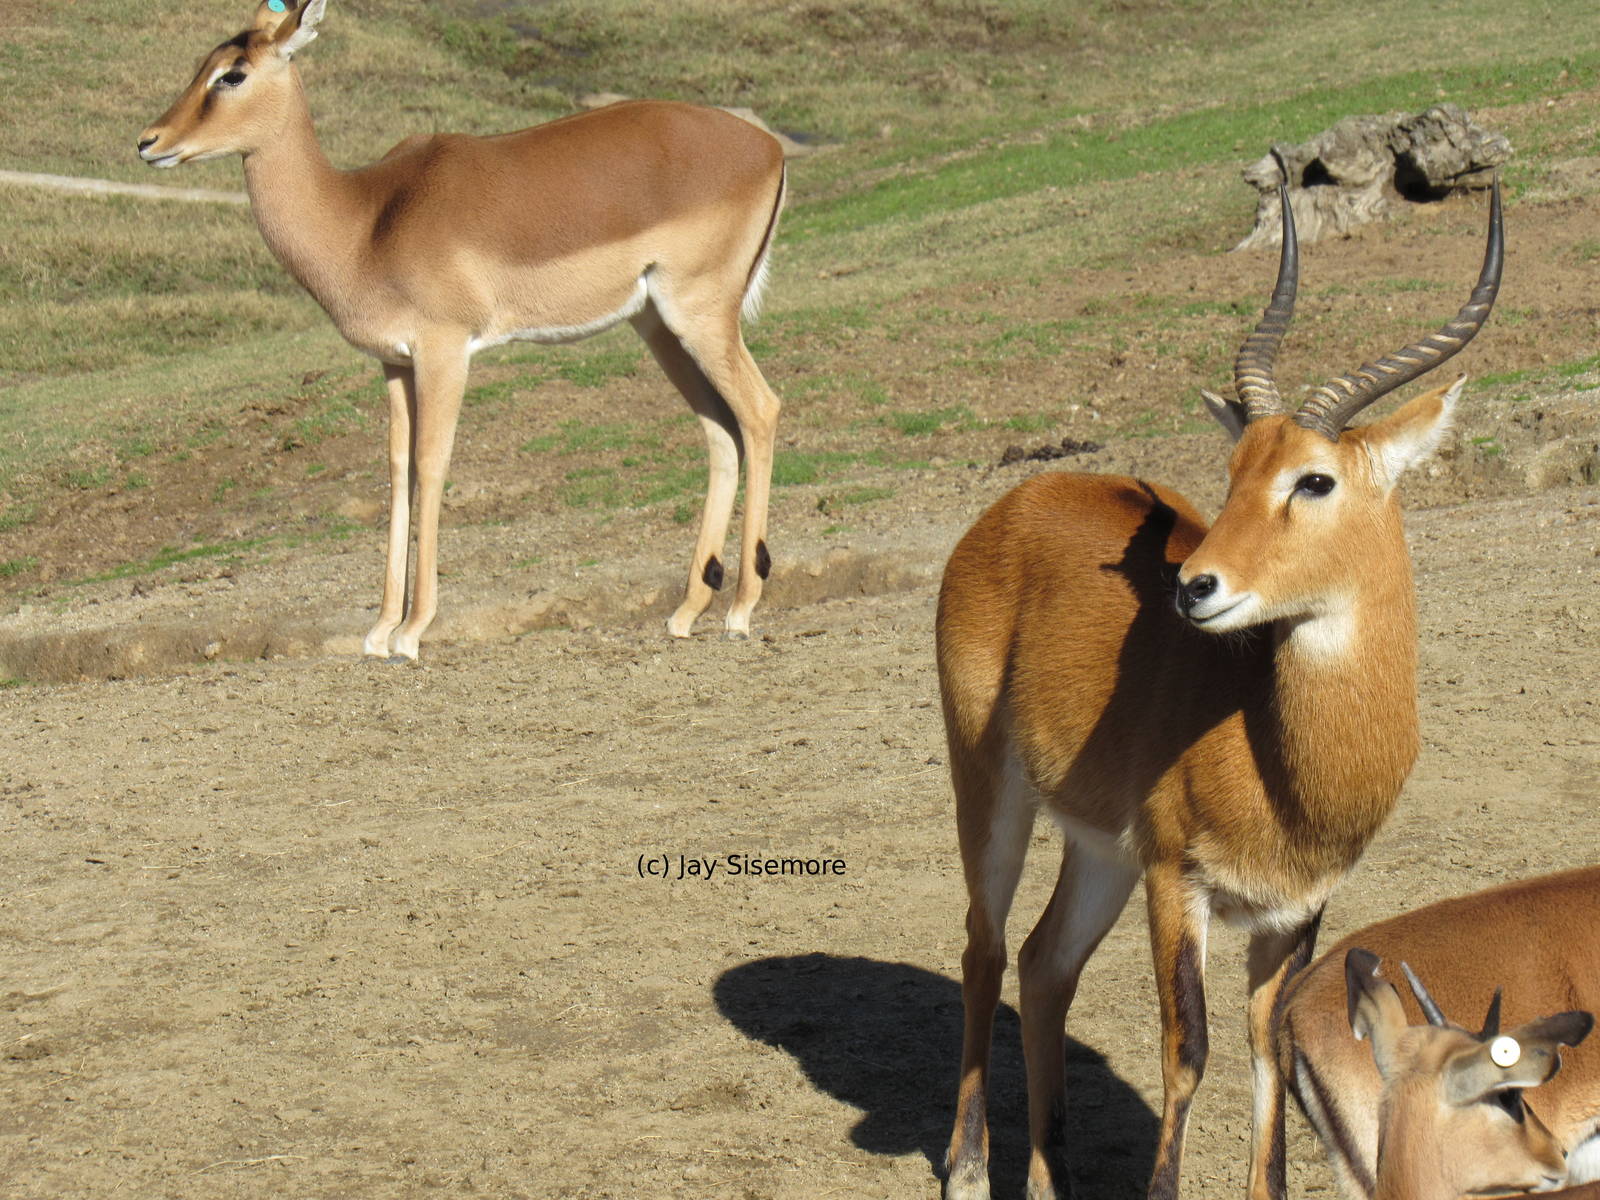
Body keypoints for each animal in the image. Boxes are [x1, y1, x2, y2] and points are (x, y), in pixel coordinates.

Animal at [137, 0, 787, 660]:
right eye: (205, 63)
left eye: (233, 74)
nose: (149, 141)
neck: (364, 219)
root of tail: (768, 147)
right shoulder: (394, 362)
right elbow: (397, 470)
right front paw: (379, 630)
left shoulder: (444, 350)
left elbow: (432, 462)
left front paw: (412, 631)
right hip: (658, 328)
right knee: (720, 429)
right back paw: (687, 611)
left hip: (700, 317)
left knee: (760, 409)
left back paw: (741, 609)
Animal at [936, 166, 1502, 1200]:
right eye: (1233, 468)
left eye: (1314, 480)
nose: (1194, 585)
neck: (1279, 758)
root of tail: (1018, 501)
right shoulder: (1177, 881)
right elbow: (1186, 1048)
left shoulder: (1294, 911)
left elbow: (1269, 1049)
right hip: (990, 788)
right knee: (984, 947)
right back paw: (966, 1168)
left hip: (1099, 847)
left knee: (1043, 963)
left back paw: (1048, 1174)